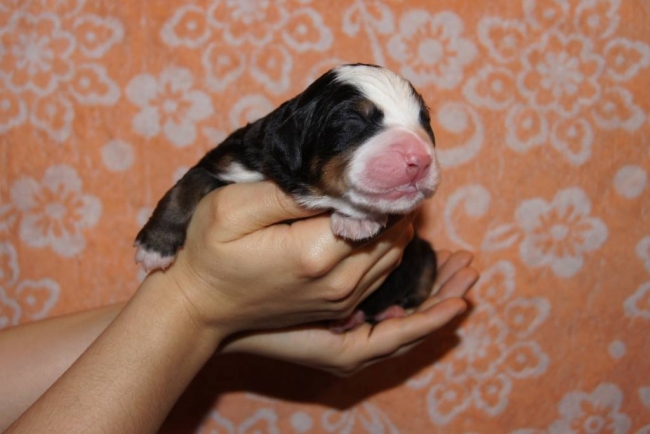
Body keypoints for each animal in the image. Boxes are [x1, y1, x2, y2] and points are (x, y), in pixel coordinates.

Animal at [134, 63, 441, 331]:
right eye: (354, 120)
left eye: (424, 120)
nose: (420, 159)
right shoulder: (226, 161)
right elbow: (186, 185)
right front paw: (154, 246)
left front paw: (357, 219)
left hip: (426, 255)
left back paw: (387, 311)